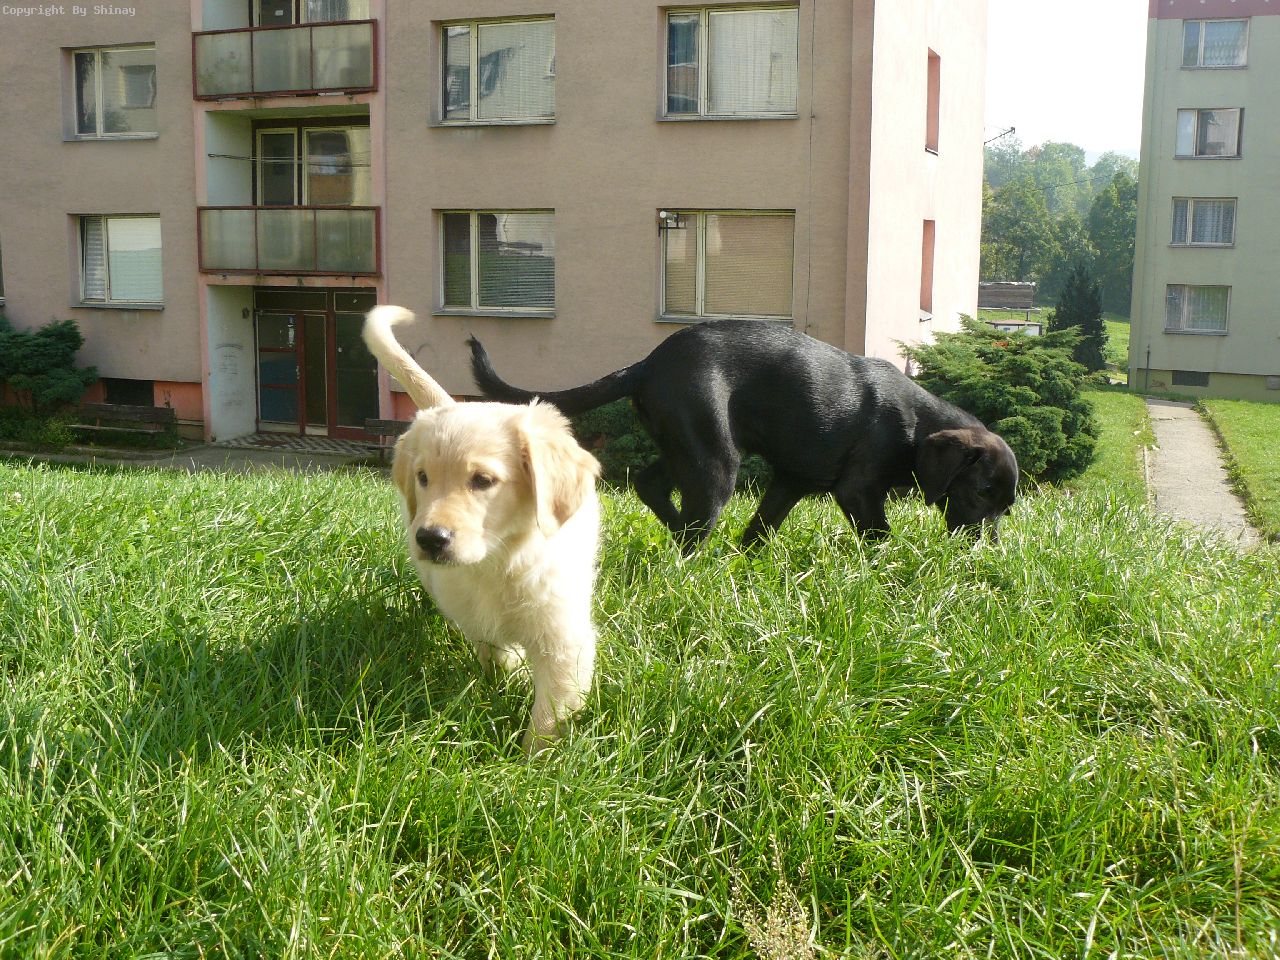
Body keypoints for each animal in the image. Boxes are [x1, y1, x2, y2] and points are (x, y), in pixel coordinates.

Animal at [362, 306, 601, 753]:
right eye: (423, 477)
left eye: (483, 480)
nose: (430, 539)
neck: (499, 559)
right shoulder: (476, 620)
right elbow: (497, 655)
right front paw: (512, 677)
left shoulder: (563, 639)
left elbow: (548, 716)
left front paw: (532, 763)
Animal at [469, 318, 1018, 550]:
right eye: (981, 491)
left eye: (1006, 508)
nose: (987, 551)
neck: (916, 427)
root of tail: (646, 364)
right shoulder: (857, 489)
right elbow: (879, 533)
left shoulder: (791, 481)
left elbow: (761, 528)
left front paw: (749, 562)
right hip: (714, 457)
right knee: (689, 513)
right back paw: (691, 553)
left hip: (689, 444)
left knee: (650, 484)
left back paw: (685, 540)